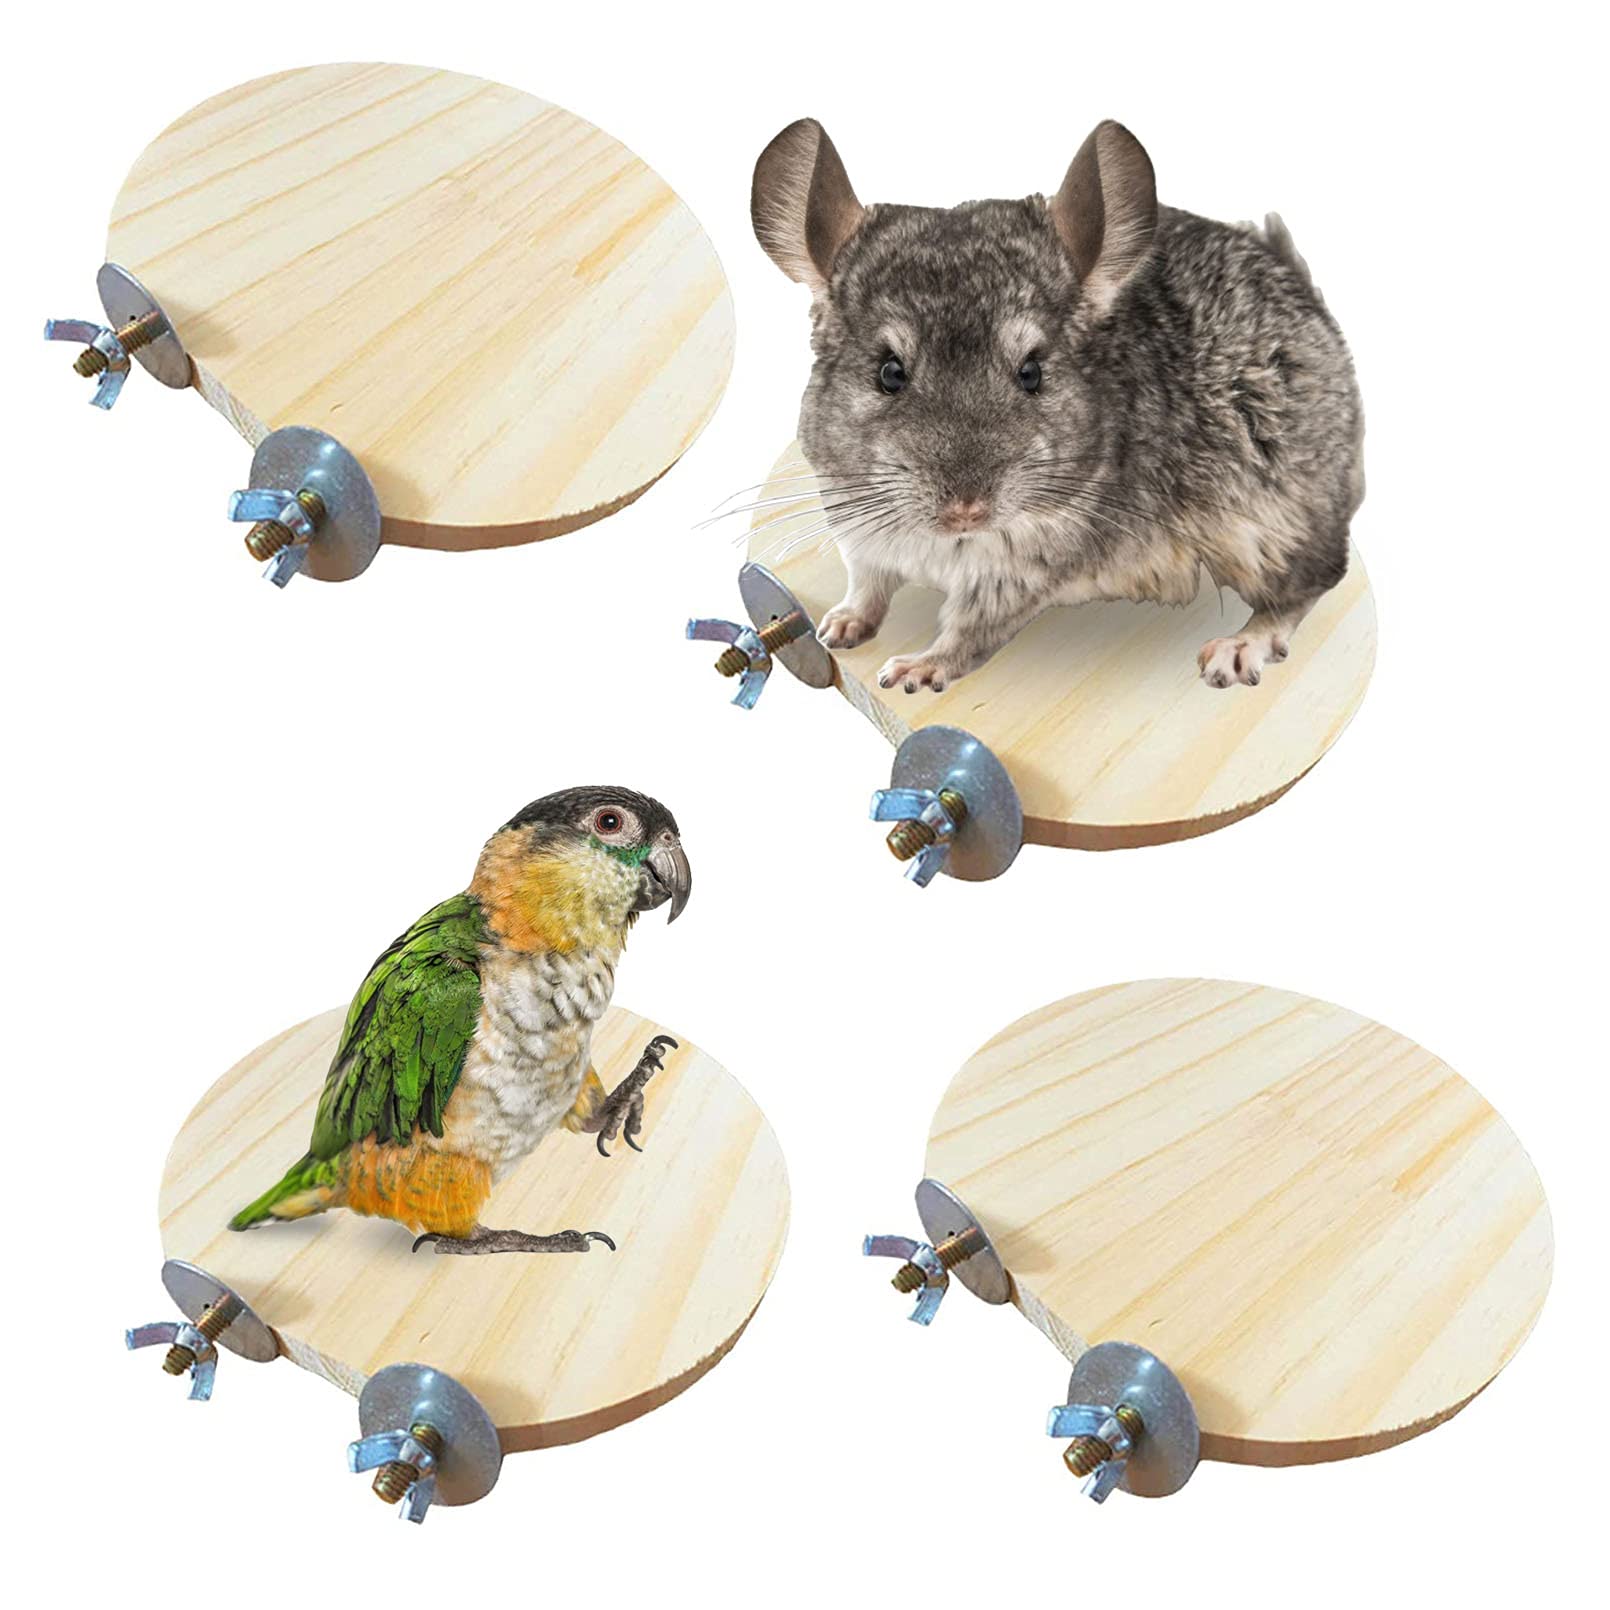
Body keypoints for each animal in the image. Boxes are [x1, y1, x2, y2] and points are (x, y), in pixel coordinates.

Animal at [749, 118, 1364, 692]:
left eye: (1032, 373)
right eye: (889, 373)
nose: (966, 510)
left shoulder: (1022, 570)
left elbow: (969, 631)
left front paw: (916, 671)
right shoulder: (858, 531)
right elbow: (867, 587)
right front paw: (839, 626)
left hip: (1274, 526)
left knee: (1311, 583)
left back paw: (1240, 647)